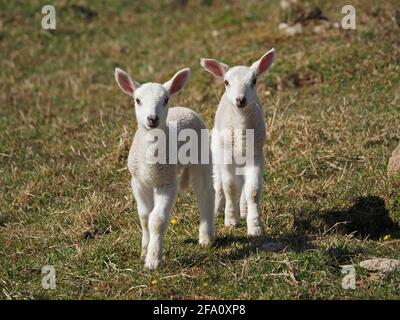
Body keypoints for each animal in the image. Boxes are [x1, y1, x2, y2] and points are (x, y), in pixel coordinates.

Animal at [114, 66, 214, 268]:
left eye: (165, 99)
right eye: (137, 100)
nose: (152, 118)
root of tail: (184, 108)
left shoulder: (167, 183)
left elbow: (157, 220)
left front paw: (153, 260)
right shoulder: (138, 182)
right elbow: (145, 217)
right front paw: (144, 250)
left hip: (202, 156)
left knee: (205, 192)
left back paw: (206, 238)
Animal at [199, 48, 276, 238]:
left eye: (254, 81)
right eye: (226, 82)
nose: (240, 100)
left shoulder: (256, 155)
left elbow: (253, 190)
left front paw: (255, 227)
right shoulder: (227, 155)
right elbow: (230, 187)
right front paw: (231, 220)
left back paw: (244, 208)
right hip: (217, 152)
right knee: (219, 183)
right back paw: (219, 208)